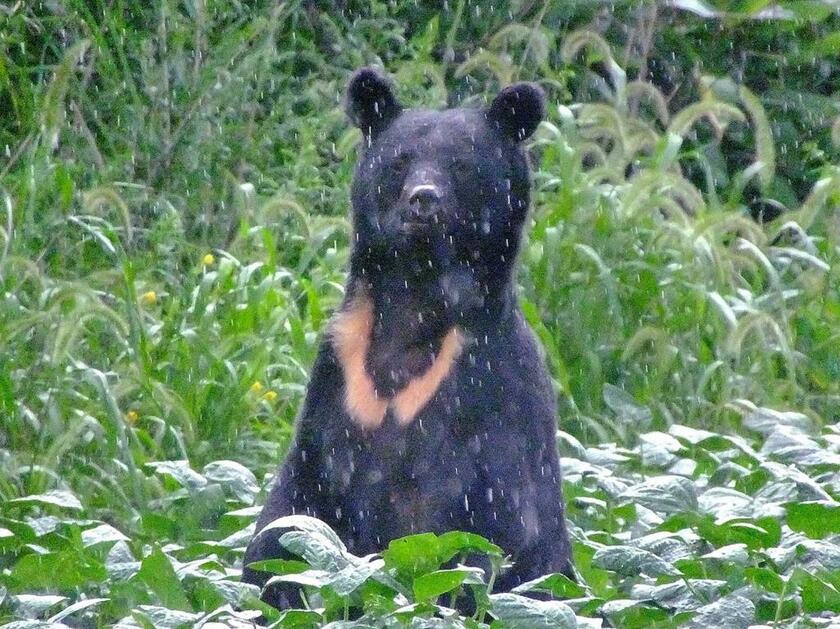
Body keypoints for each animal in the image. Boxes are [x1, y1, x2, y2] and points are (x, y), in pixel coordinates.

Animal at [240, 66, 576, 604]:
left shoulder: (490, 390)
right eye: (399, 162)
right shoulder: (336, 383)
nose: (423, 201)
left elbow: (491, 531)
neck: (417, 301)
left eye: (461, 165)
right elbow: (287, 521)